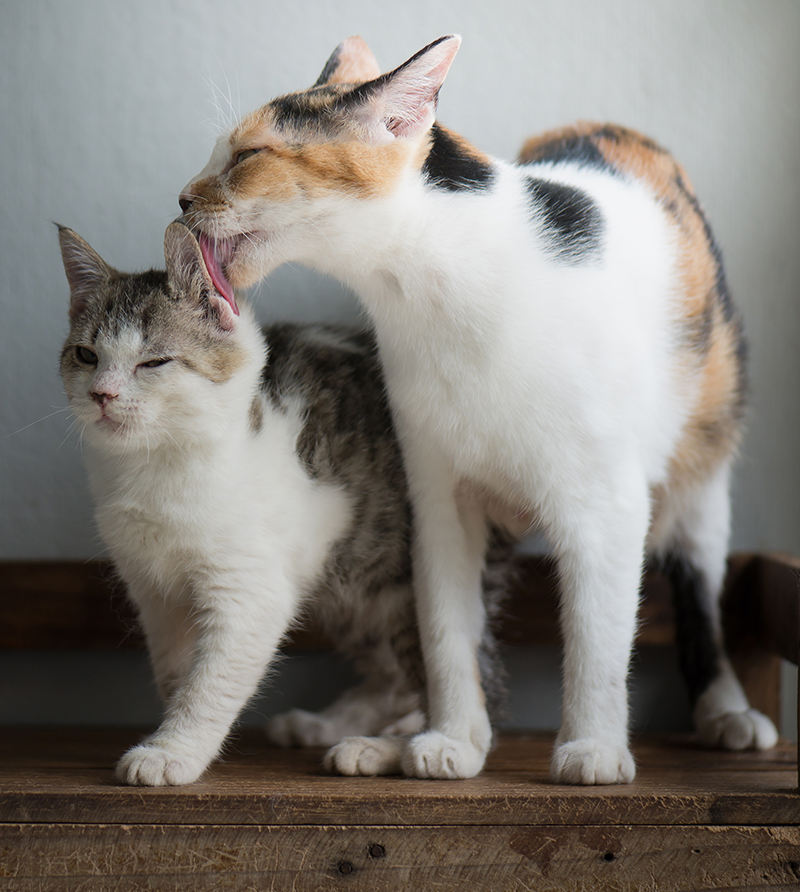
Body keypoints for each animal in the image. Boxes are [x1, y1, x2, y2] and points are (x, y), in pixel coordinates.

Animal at [59, 223, 506, 788]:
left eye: (154, 361)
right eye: (86, 355)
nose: (102, 394)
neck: (157, 467)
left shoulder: (251, 590)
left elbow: (212, 678)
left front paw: (171, 752)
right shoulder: (154, 594)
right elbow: (176, 670)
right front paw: (172, 727)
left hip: (407, 580)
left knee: (469, 697)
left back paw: (400, 748)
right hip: (355, 588)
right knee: (394, 676)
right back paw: (329, 725)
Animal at [177, 38, 776, 784]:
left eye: (247, 155)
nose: (182, 196)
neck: (431, 295)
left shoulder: (607, 505)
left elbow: (597, 636)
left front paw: (593, 747)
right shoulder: (436, 499)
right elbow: (445, 630)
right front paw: (455, 739)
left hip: (705, 467)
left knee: (699, 587)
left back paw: (726, 709)